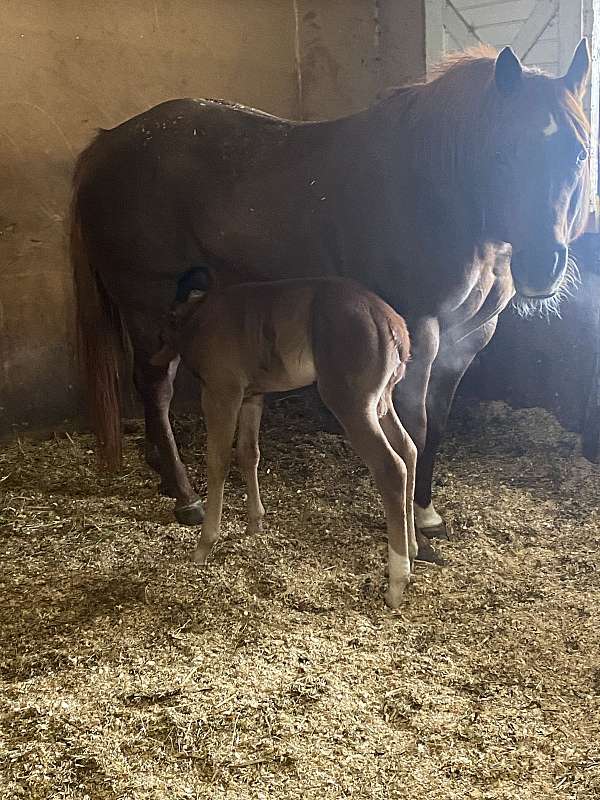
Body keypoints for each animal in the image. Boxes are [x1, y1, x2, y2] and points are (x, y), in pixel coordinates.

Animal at [71, 42, 592, 556]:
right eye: (503, 153)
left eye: (579, 154)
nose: (542, 265)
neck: (435, 193)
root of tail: (104, 145)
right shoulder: (419, 332)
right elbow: (417, 425)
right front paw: (414, 525)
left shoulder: (466, 339)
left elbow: (439, 424)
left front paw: (426, 513)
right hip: (148, 301)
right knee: (155, 387)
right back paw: (185, 498)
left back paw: (164, 476)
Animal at [155, 276, 418, 608]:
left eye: (163, 329)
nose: (154, 365)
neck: (199, 316)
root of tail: (390, 321)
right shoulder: (253, 396)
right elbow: (248, 453)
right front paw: (255, 524)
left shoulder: (221, 392)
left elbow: (218, 461)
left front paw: (204, 544)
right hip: (382, 401)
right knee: (409, 449)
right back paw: (413, 546)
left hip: (351, 402)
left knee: (391, 467)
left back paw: (396, 582)